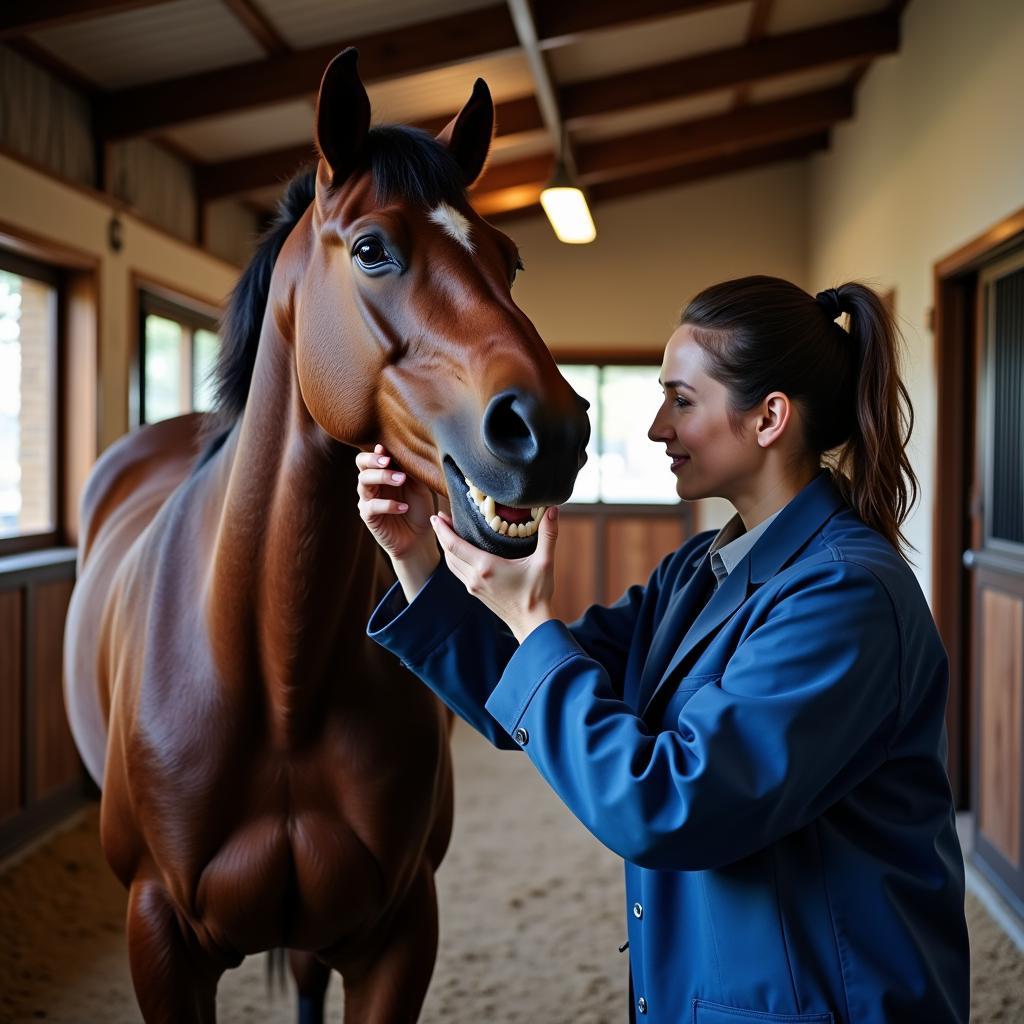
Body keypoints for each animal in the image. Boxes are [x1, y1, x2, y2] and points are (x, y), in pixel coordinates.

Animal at [64, 49, 589, 1024]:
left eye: (508, 259)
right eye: (374, 249)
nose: (552, 432)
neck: (278, 678)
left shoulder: (397, 933)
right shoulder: (159, 940)